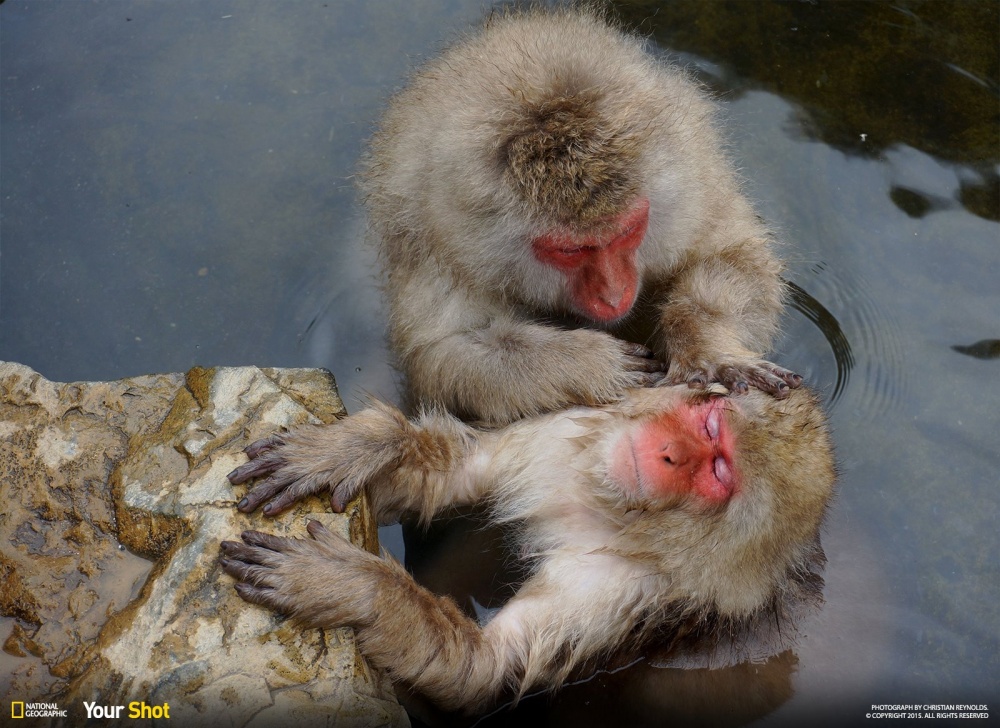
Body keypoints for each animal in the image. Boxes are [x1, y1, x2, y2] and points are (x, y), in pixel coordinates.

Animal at [364, 5, 800, 426]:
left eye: (627, 232)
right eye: (571, 251)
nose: (614, 295)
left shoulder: (693, 185)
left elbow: (735, 255)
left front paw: (705, 343)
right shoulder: (440, 248)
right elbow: (441, 356)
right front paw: (586, 364)